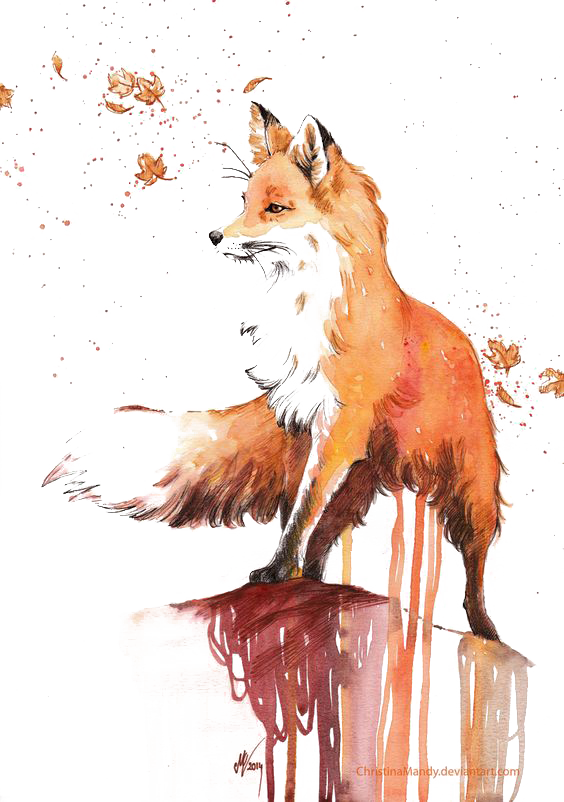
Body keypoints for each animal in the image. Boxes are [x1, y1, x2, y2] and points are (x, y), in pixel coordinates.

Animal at [44, 102, 504, 641]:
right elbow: (295, 514)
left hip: (469, 486)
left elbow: (301, 514)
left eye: (275, 209)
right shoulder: (298, 424)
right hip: (358, 482)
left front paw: (278, 570)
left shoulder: (337, 431)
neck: (303, 307)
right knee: (325, 541)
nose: (214, 236)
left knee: (473, 566)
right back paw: (319, 587)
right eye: (243, 200)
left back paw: (486, 631)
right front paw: (282, 572)